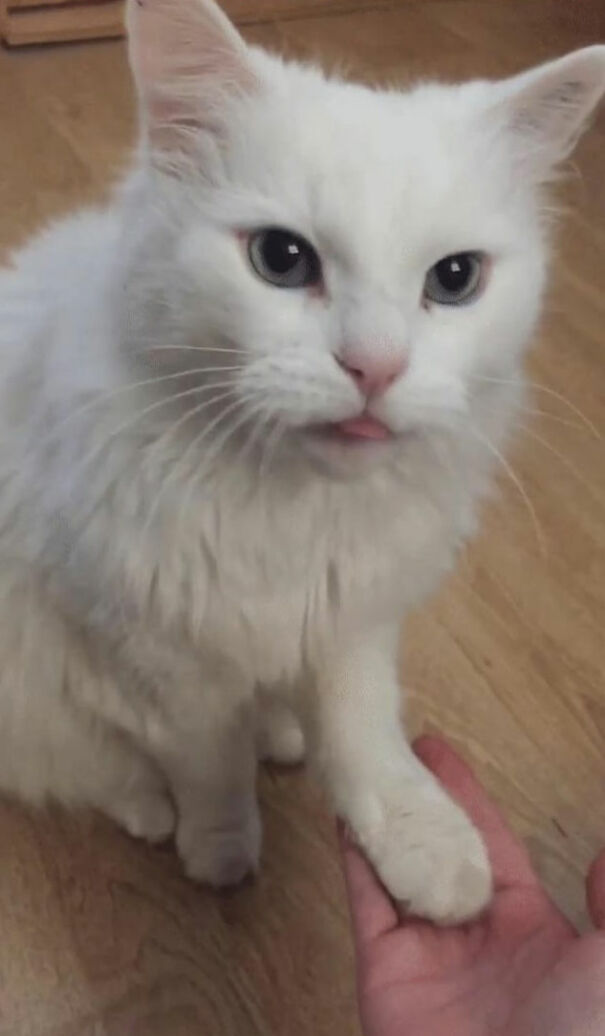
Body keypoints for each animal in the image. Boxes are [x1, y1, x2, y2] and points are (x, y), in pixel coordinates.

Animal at [1, 0, 605, 924]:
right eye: (280, 260)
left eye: (455, 280)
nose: (375, 369)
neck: (298, 507)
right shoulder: (156, 656)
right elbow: (206, 764)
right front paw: (219, 852)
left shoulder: (353, 619)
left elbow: (365, 741)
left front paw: (429, 849)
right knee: (91, 767)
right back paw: (153, 813)